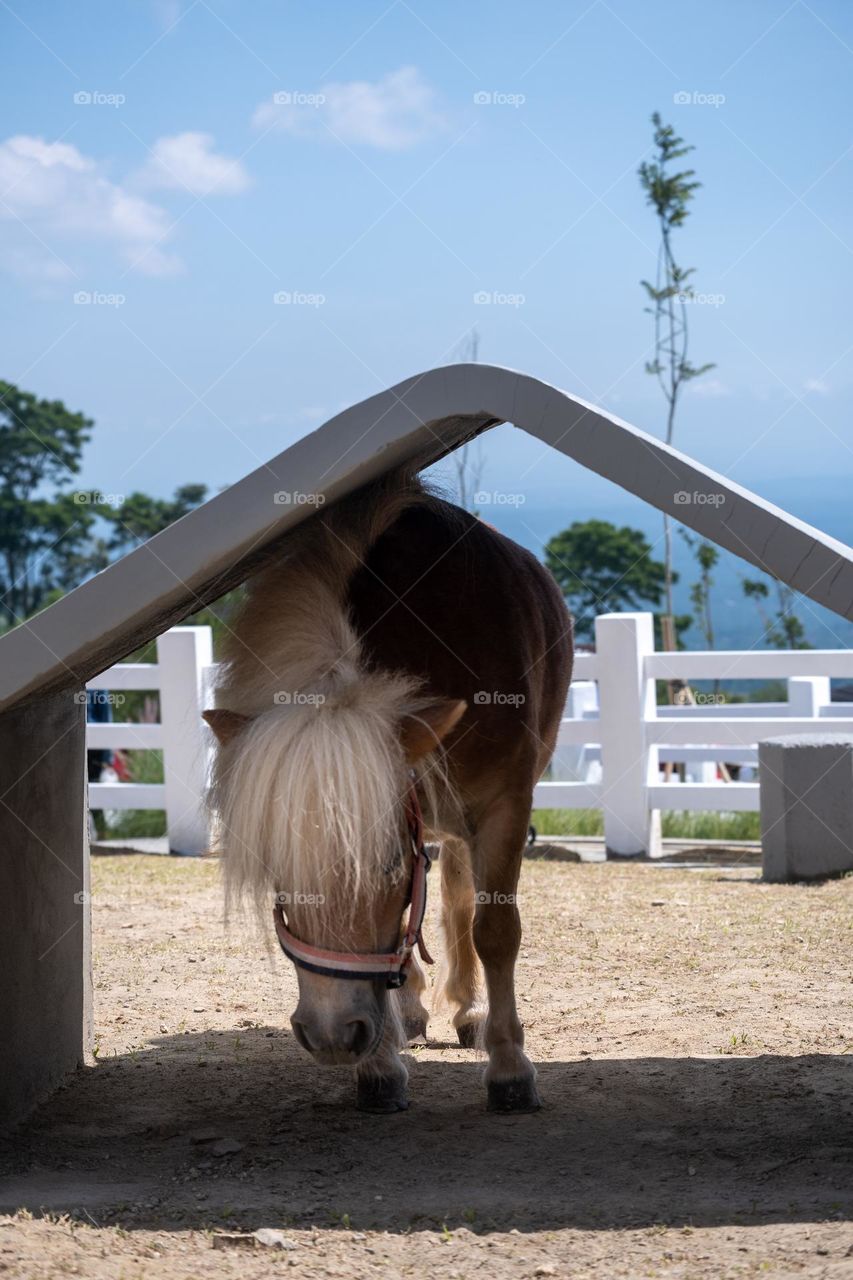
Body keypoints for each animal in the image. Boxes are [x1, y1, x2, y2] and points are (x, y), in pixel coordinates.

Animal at [204, 467, 572, 1113]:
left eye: (385, 866)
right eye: (280, 873)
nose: (330, 1036)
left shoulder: (503, 804)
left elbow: (495, 930)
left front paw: (509, 1067)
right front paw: (380, 1067)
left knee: (458, 900)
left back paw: (469, 1010)